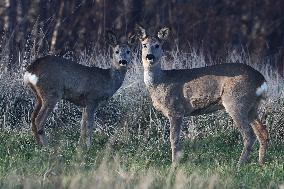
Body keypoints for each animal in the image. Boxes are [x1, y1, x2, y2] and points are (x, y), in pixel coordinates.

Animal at [135, 24, 268, 166]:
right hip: (252, 107)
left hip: (236, 101)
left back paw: (239, 164)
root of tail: (261, 80)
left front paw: (174, 164)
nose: (149, 56)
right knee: (263, 132)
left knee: (249, 135)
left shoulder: (176, 110)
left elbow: (174, 139)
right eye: (144, 45)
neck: (161, 81)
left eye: (157, 45)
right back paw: (260, 163)